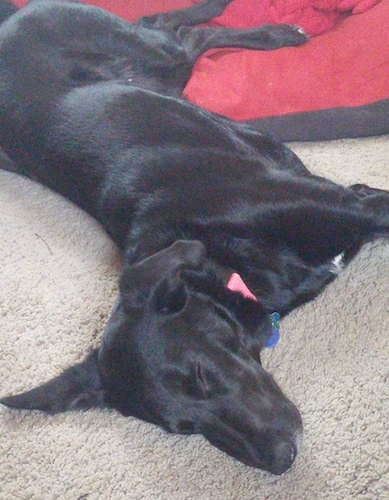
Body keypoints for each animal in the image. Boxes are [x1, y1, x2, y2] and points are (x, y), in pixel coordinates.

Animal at [0, 0, 388, 476]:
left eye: (200, 374)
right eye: (185, 429)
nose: (280, 460)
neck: (225, 258)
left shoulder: (347, 202)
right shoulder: (351, 201)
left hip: (155, 54)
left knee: (169, 28)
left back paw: (269, 28)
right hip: (165, 75)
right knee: (185, 34)